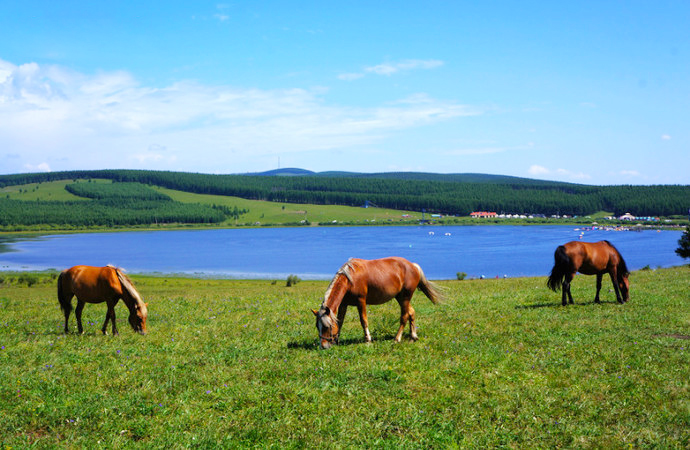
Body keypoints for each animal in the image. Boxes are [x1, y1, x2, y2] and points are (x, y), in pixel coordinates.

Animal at [310, 256, 440, 348]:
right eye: (317, 326)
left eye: (327, 326)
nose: (323, 346)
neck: (350, 280)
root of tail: (413, 265)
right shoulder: (344, 304)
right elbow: (340, 321)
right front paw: (337, 340)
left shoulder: (361, 301)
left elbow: (363, 321)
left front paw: (368, 340)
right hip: (401, 298)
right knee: (411, 312)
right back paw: (413, 336)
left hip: (405, 297)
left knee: (404, 316)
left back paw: (397, 339)